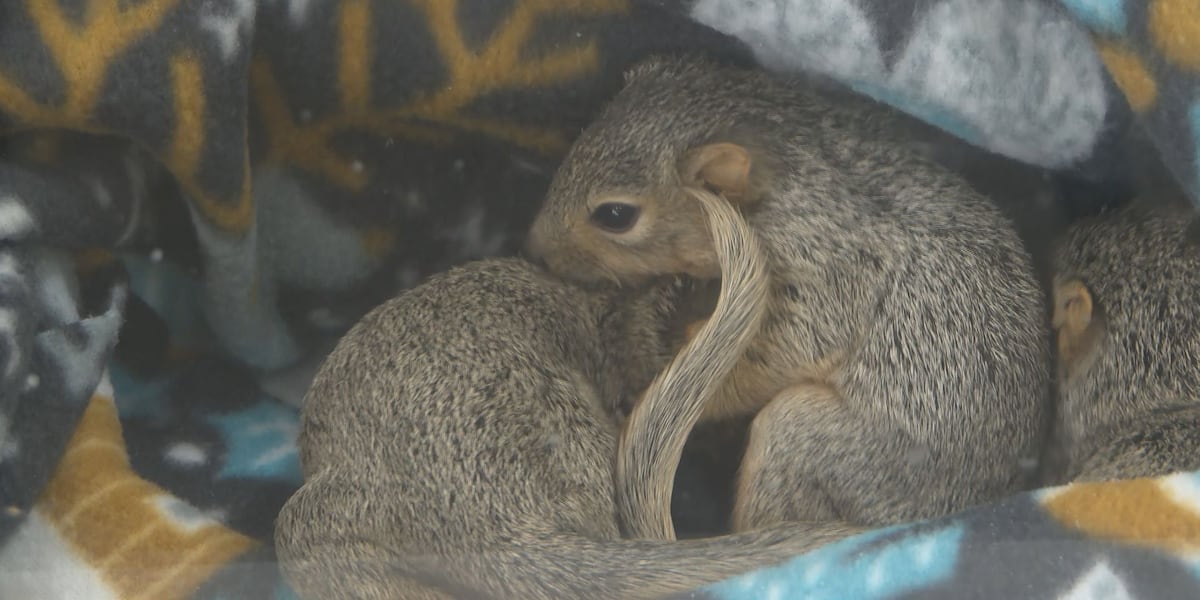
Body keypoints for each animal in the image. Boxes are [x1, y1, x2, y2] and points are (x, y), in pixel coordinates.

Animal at [525, 54, 1051, 532]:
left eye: (616, 215)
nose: (536, 247)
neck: (794, 151)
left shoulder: (826, 268)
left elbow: (785, 350)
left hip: (812, 442)